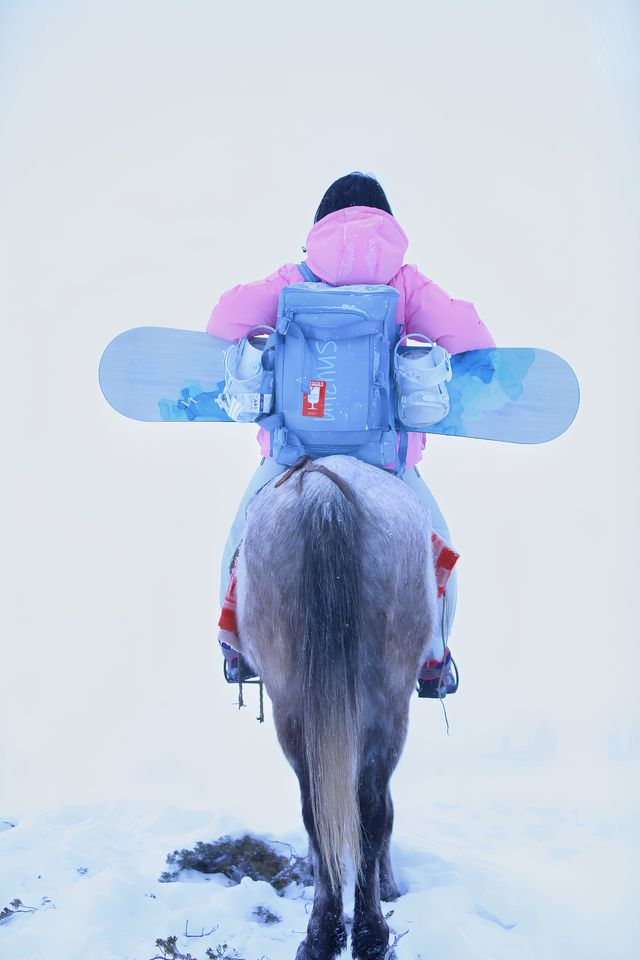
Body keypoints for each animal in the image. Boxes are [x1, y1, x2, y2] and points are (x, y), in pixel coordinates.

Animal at [235, 458, 440, 960]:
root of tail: (324, 494)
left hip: (295, 703)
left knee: (325, 808)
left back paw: (328, 934)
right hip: (386, 704)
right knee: (367, 808)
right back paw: (363, 935)